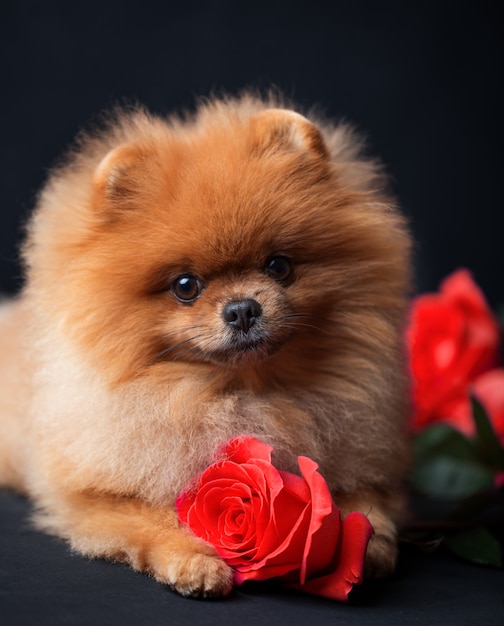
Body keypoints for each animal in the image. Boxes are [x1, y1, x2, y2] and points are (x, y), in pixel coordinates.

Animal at [0, 91, 410, 596]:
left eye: (279, 266)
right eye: (185, 286)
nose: (242, 309)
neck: (239, 393)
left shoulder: (362, 463)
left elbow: (367, 504)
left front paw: (366, 546)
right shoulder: (93, 494)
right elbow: (150, 520)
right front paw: (196, 562)